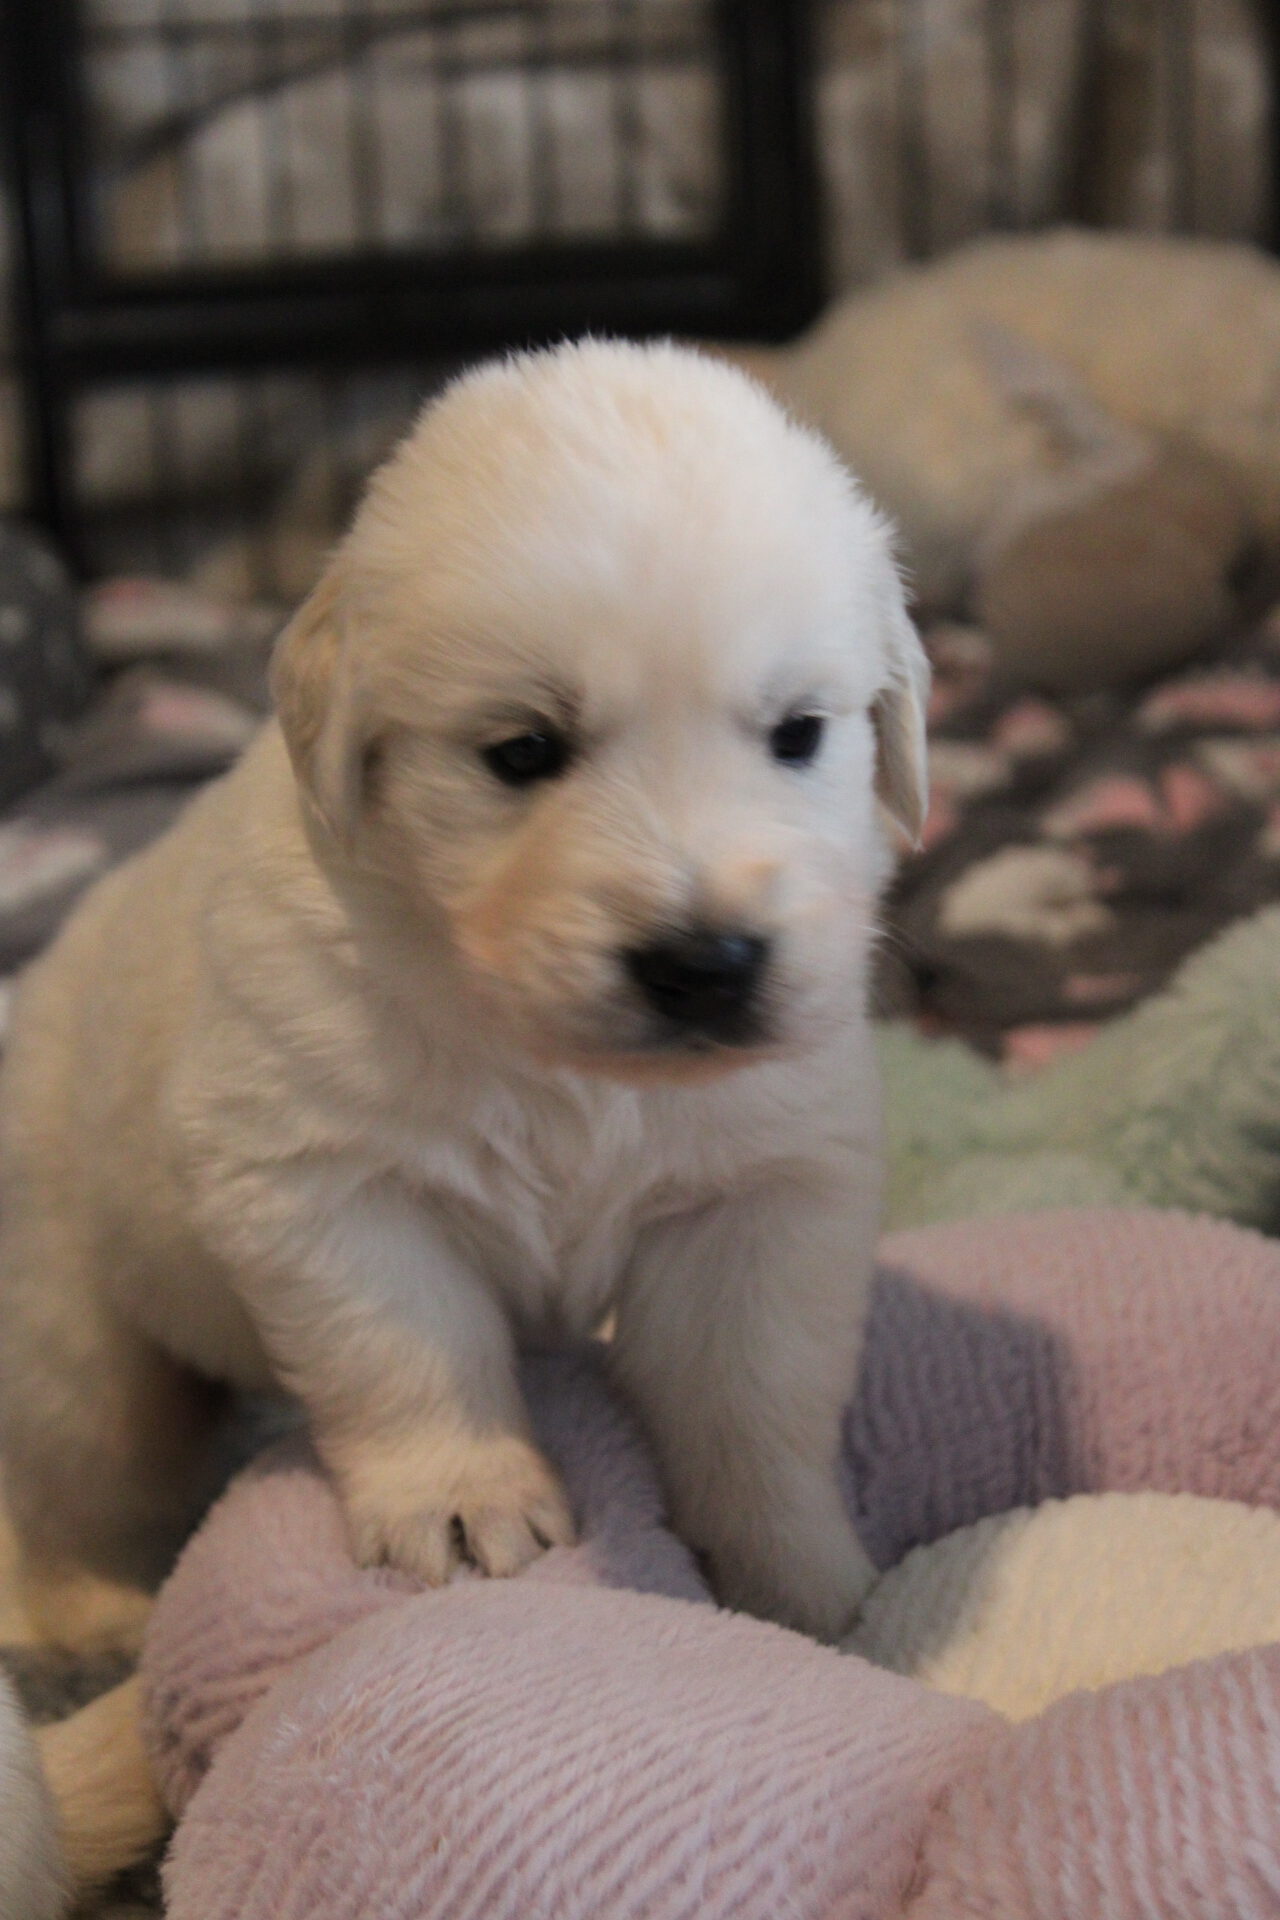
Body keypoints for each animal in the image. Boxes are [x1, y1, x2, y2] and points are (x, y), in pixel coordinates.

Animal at [0, 343, 927, 1691]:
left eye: (799, 733)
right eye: (522, 750)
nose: (705, 963)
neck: (557, 1062)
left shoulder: (762, 1190)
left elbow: (753, 1402)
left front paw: (809, 1591)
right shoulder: (320, 1172)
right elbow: (409, 1347)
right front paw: (460, 1506)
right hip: (72, 1320)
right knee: (70, 1487)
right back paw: (79, 1624)